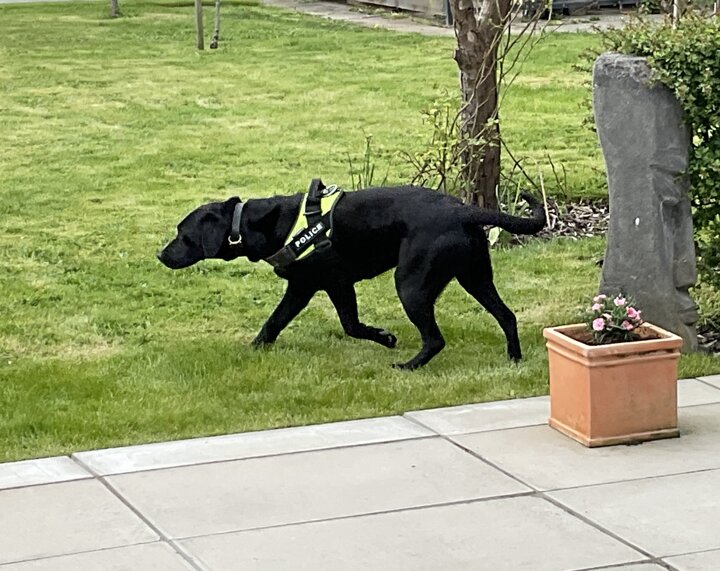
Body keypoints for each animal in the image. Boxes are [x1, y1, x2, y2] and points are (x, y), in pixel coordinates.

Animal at [158, 183, 545, 369]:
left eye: (182, 234)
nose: (161, 254)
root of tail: (463, 210)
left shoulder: (320, 284)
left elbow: (336, 325)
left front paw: (385, 337)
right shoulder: (320, 286)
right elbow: (286, 322)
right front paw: (254, 349)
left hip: (411, 284)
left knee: (435, 339)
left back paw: (408, 366)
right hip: (475, 277)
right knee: (507, 316)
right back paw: (513, 358)